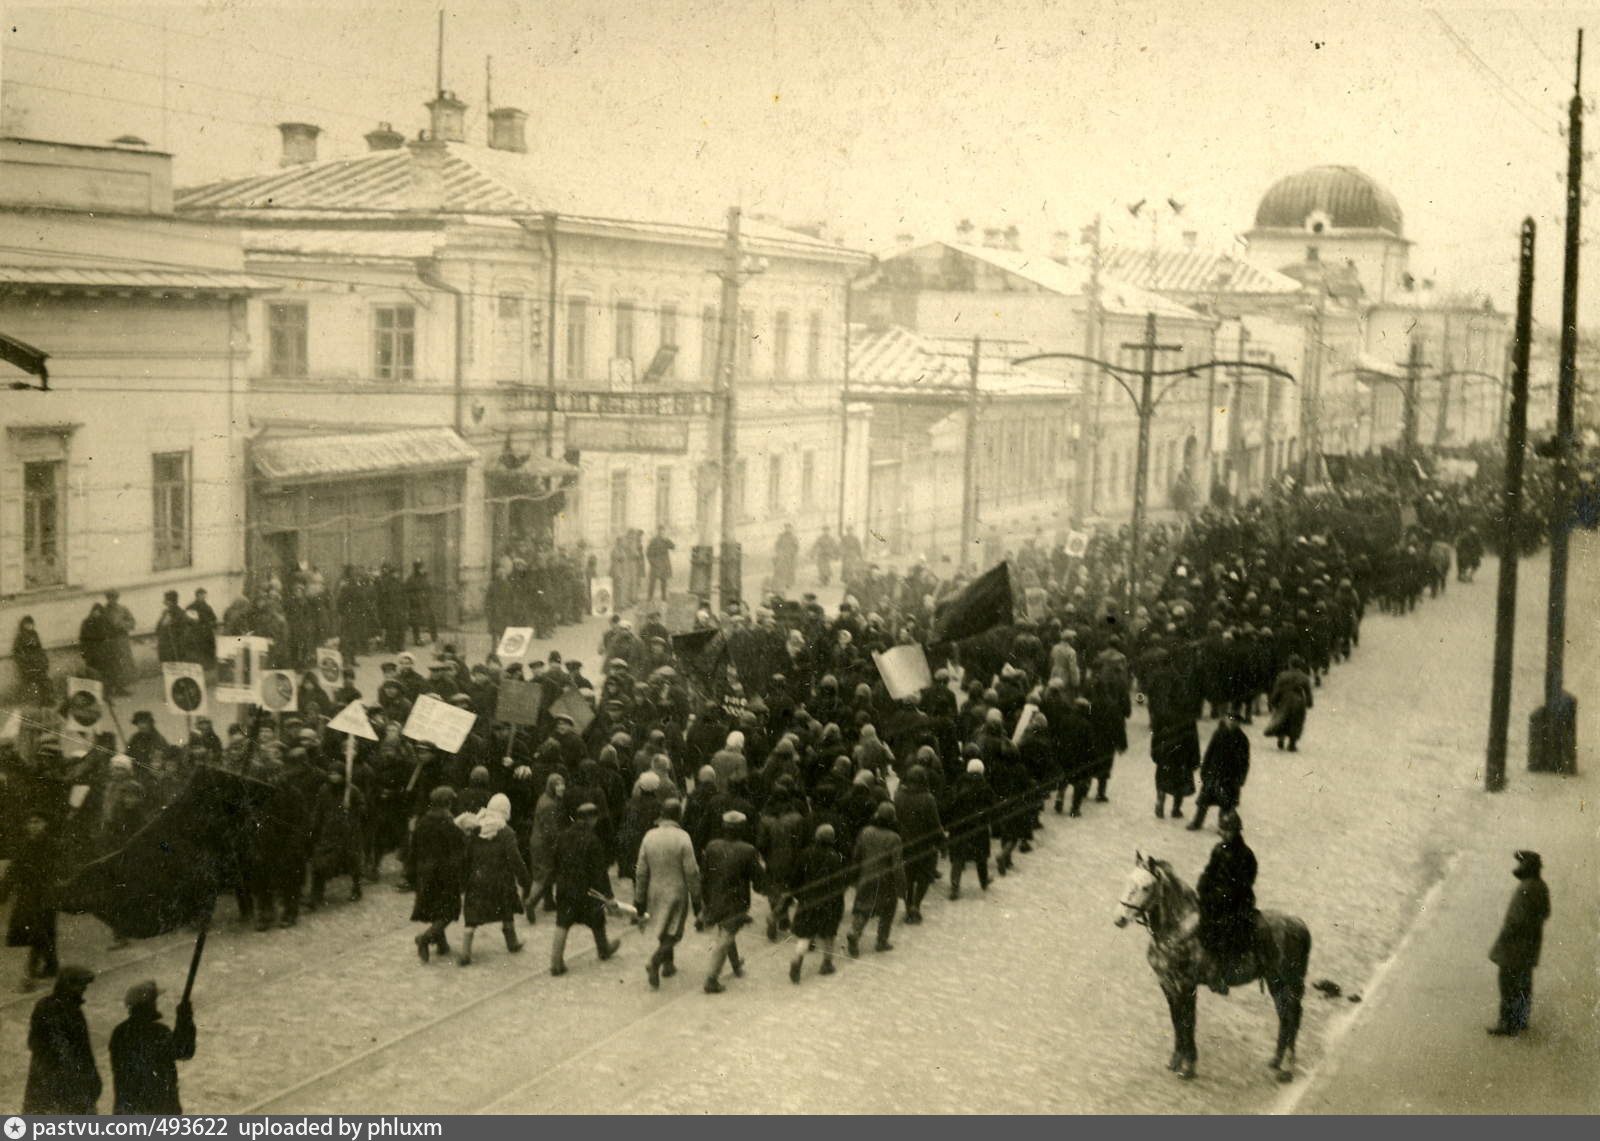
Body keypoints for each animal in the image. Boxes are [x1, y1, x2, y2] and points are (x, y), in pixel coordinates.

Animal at [1113, 851, 1312, 1081]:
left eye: (1146, 887)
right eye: (1127, 880)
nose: (1119, 919)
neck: (1177, 930)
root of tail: (1300, 923)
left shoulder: (1186, 985)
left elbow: (1188, 1022)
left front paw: (1188, 1068)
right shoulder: (1167, 984)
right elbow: (1176, 1021)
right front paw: (1175, 1061)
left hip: (1289, 982)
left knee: (1293, 1016)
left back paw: (1287, 1068)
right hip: (1275, 982)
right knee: (1284, 1016)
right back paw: (1276, 1061)